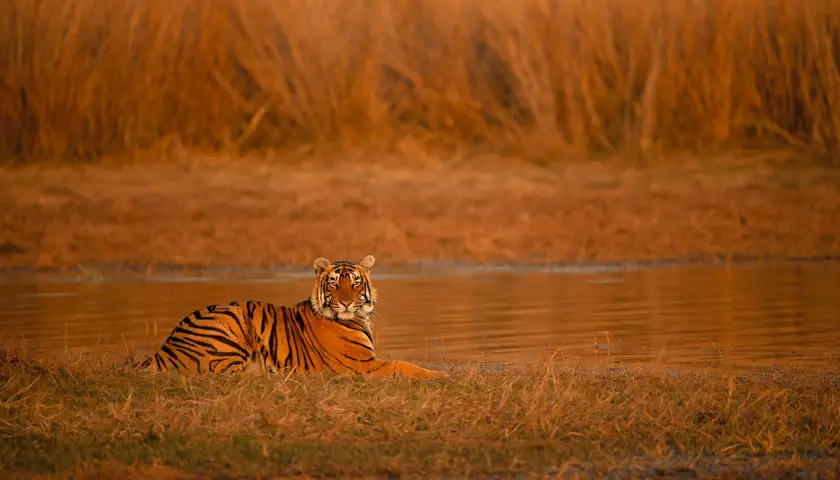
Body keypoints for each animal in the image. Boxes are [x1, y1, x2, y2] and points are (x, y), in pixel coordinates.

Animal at [134, 255, 448, 379]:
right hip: (231, 319)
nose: (346, 302)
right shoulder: (363, 365)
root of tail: (165, 348)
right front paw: (443, 375)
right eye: (334, 283)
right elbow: (404, 365)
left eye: (356, 283)